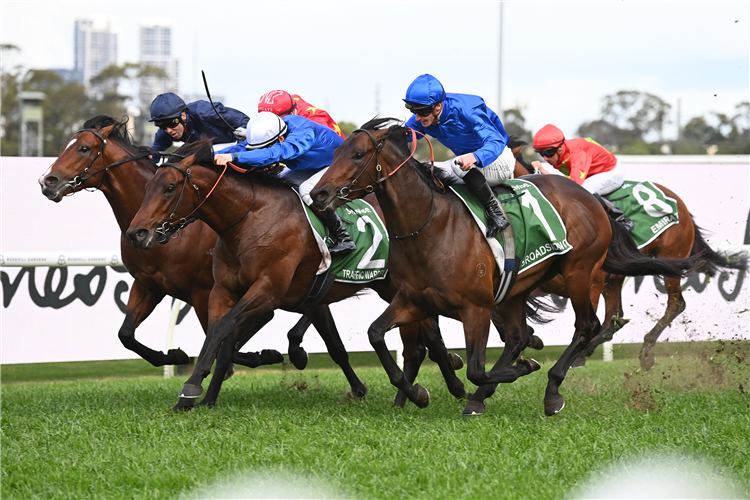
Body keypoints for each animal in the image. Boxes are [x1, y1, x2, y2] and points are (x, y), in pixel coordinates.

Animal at [39, 117, 356, 394]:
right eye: (65, 145)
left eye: (83, 148)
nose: (47, 181)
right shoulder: (148, 284)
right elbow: (126, 334)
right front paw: (175, 356)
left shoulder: (203, 291)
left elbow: (217, 337)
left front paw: (254, 358)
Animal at [125, 138, 468, 410]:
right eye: (149, 186)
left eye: (169, 188)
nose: (136, 233)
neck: (249, 220)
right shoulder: (224, 290)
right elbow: (218, 337)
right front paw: (202, 397)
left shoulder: (267, 290)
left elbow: (223, 329)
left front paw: (191, 388)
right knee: (423, 340)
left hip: (398, 288)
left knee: (426, 340)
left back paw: (448, 386)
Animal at [310, 119, 700, 416]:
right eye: (335, 152)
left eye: (358, 154)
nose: (319, 195)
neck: (431, 226)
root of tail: (589, 198)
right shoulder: (413, 300)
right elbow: (377, 335)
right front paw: (418, 393)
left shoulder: (476, 308)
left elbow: (477, 369)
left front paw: (519, 370)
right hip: (519, 286)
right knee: (518, 336)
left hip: (579, 271)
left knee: (587, 325)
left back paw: (552, 390)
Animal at [516, 154, 748, 370]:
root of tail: (678, 202)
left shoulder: (589, 280)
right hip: (618, 276)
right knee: (616, 317)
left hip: (671, 258)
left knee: (674, 305)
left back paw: (643, 352)